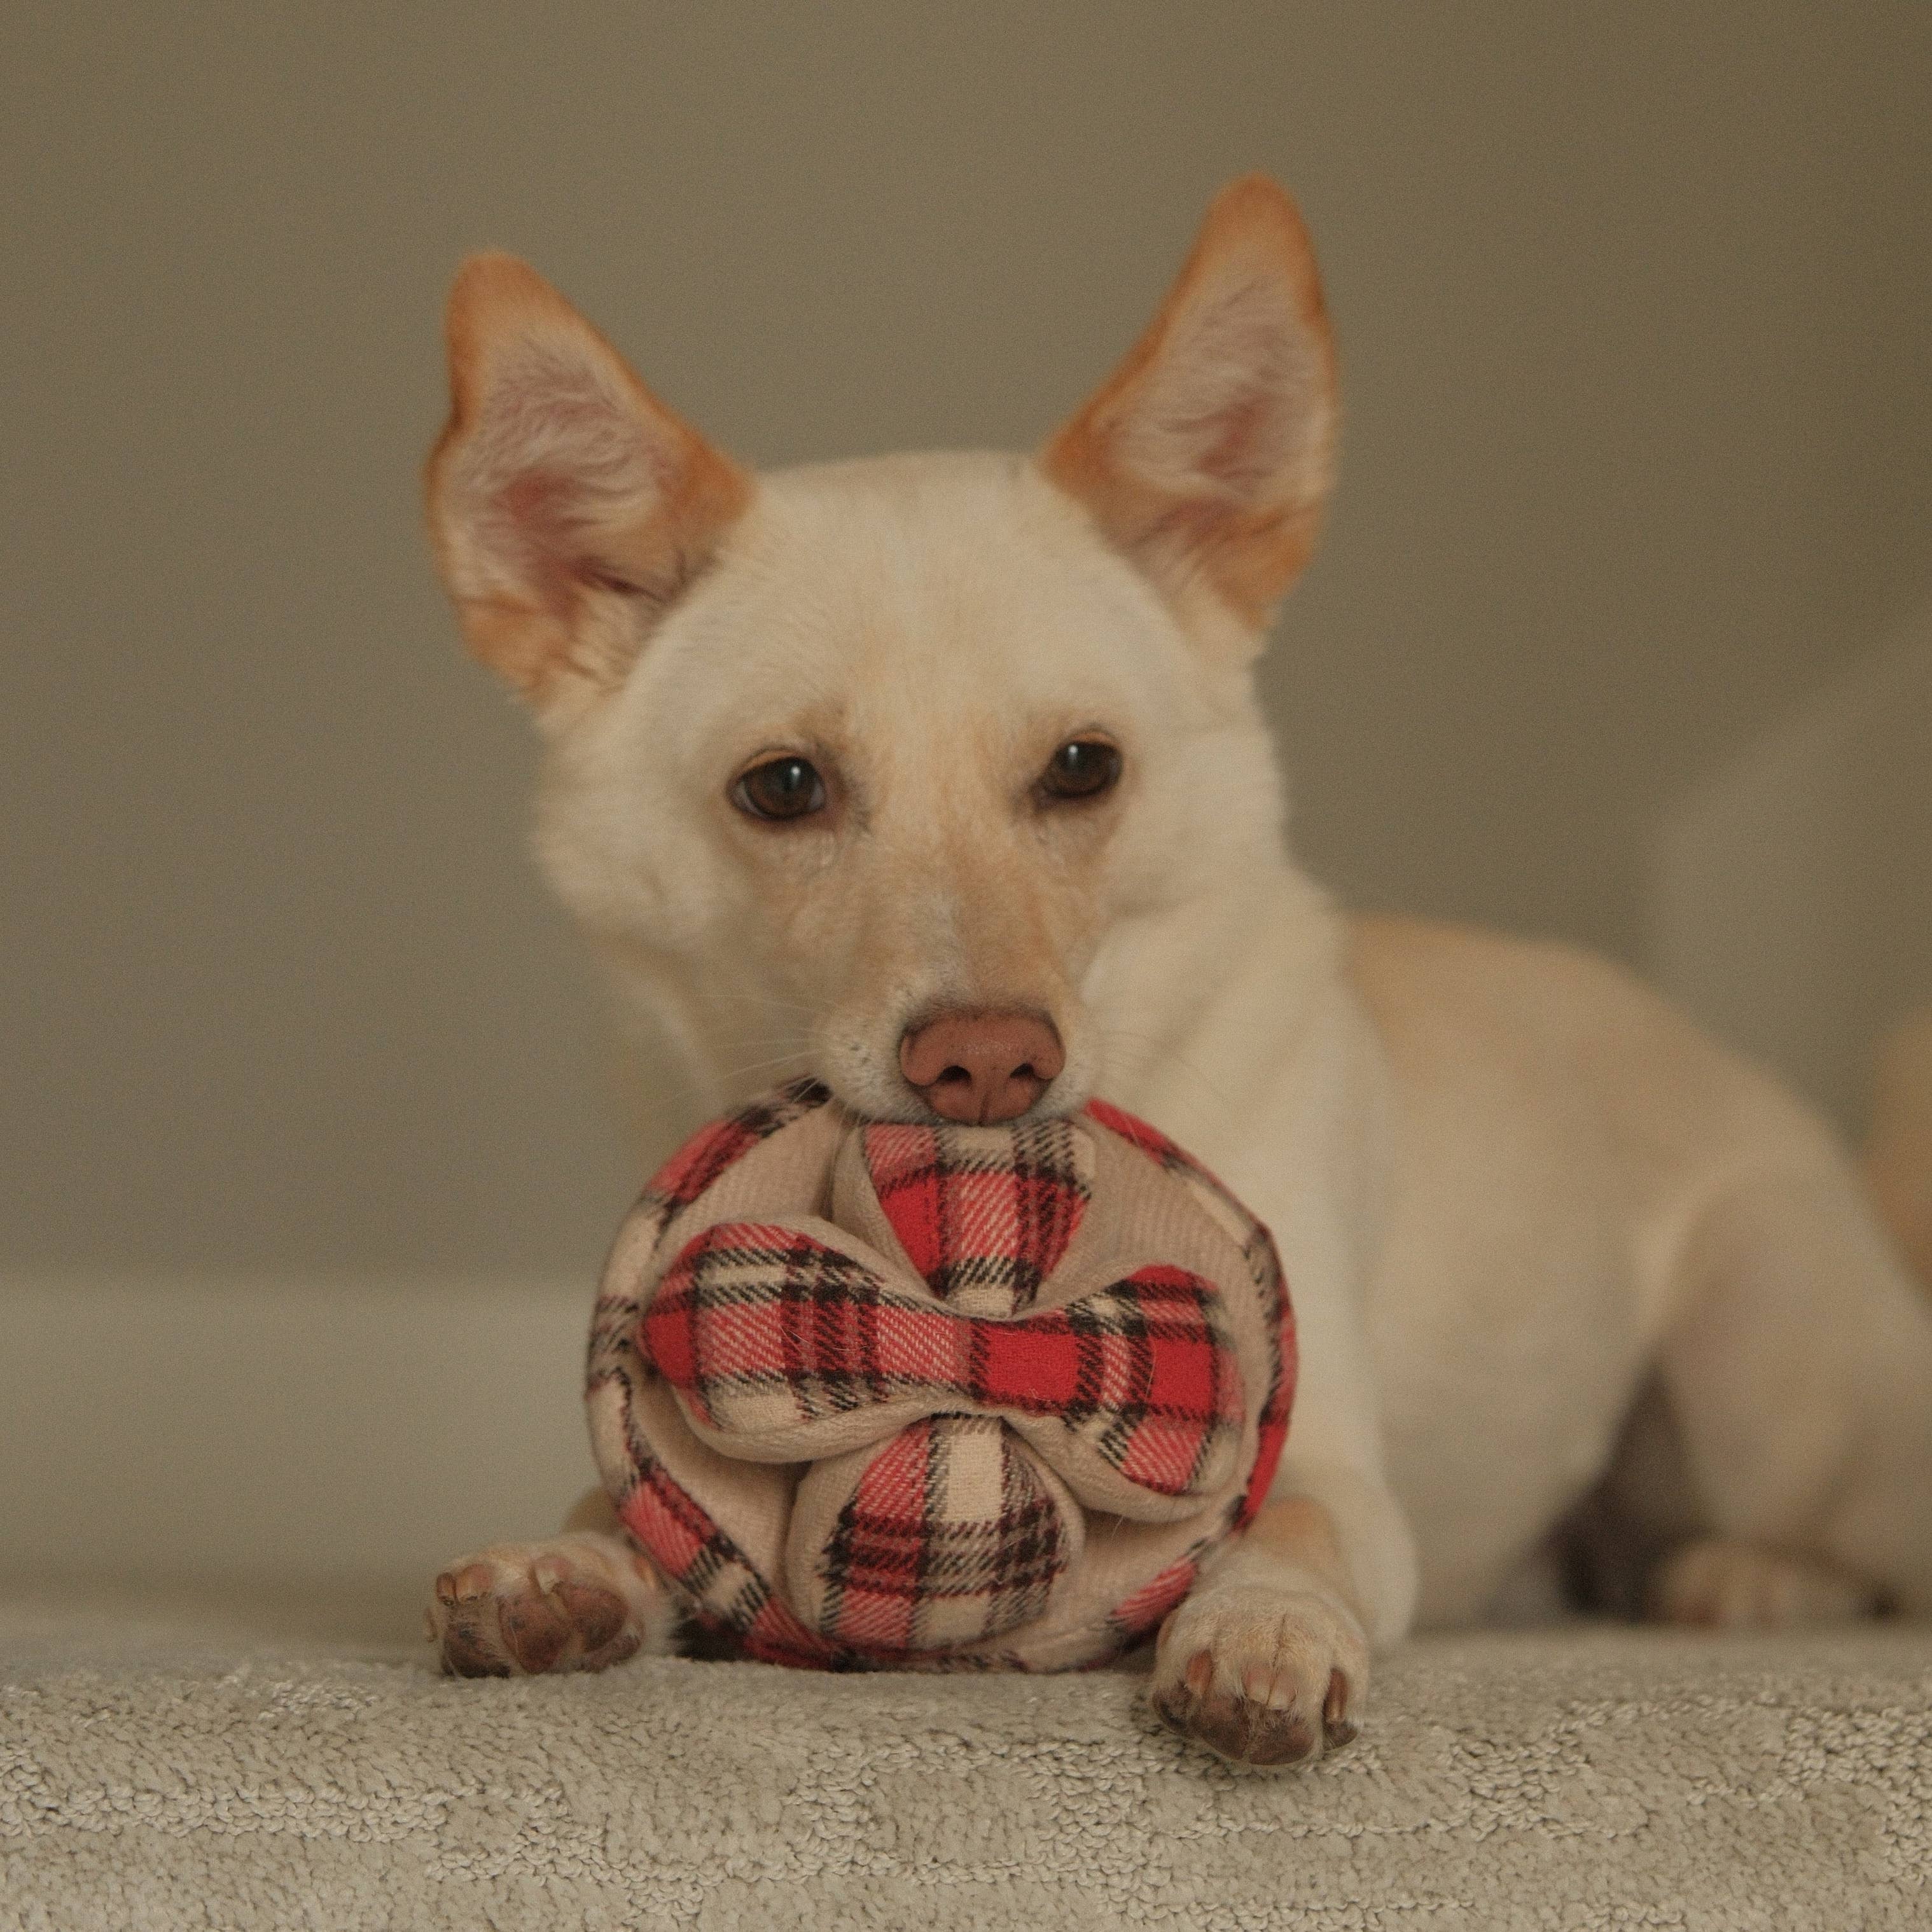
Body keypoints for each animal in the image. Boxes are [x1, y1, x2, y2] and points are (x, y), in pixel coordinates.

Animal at [420, 176, 1932, 1766]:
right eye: (783, 789)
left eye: (1084, 768)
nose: (988, 1063)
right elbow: (622, 1499)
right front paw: (570, 1566)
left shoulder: (1334, 1468)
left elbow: (1292, 1530)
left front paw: (1262, 1635)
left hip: (1762, 1349)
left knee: (1874, 1554)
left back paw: (1752, 1577)